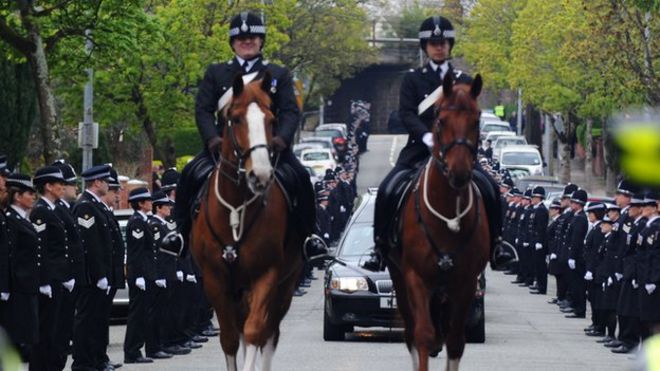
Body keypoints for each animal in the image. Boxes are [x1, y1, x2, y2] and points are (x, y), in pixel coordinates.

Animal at [191, 73, 304, 371]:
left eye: (271, 119)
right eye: (236, 118)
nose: (260, 175)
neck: (236, 206)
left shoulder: (267, 275)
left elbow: (255, 332)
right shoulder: (215, 280)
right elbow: (230, 338)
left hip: (283, 286)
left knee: (268, 334)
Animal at [386, 72, 490, 371]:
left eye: (476, 120)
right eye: (440, 119)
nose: (459, 172)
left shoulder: (466, 282)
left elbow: (455, 341)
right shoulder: (414, 277)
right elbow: (422, 335)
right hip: (398, 277)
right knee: (412, 333)